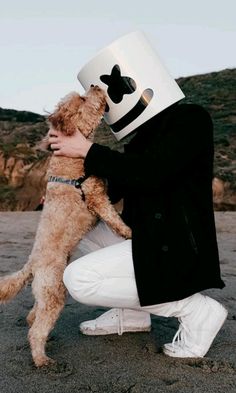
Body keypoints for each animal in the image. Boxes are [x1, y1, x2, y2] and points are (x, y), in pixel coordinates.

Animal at [0, 84, 131, 366]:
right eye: (82, 98)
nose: (95, 85)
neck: (69, 158)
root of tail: (31, 265)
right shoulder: (95, 196)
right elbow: (112, 215)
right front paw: (127, 231)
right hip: (54, 291)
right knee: (37, 328)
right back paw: (41, 359)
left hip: (46, 292)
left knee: (33, 316)